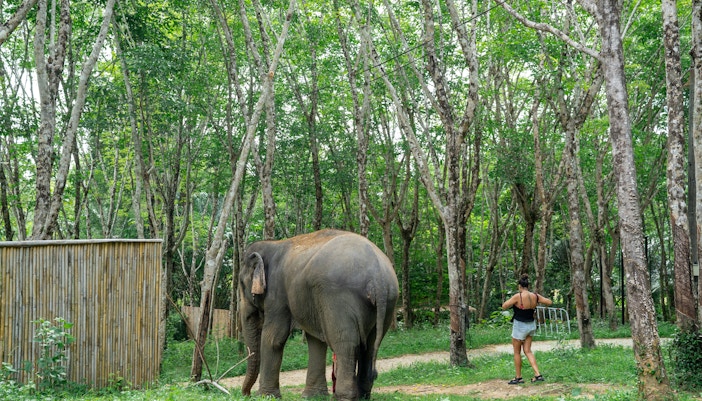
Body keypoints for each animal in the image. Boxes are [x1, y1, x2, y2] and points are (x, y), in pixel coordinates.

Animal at [238, 229, 399, 400]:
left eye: (241, 284)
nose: (246, 394)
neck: (273, 244)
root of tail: (378, 277)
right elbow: (315, 341)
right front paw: (312, 396)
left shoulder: (278, 294)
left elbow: (274, 338)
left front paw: (265, 396)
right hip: (389, 301)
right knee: (369, 345)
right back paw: (362, 396)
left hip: (339, 299)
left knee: (345, 344)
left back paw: (342, 397)